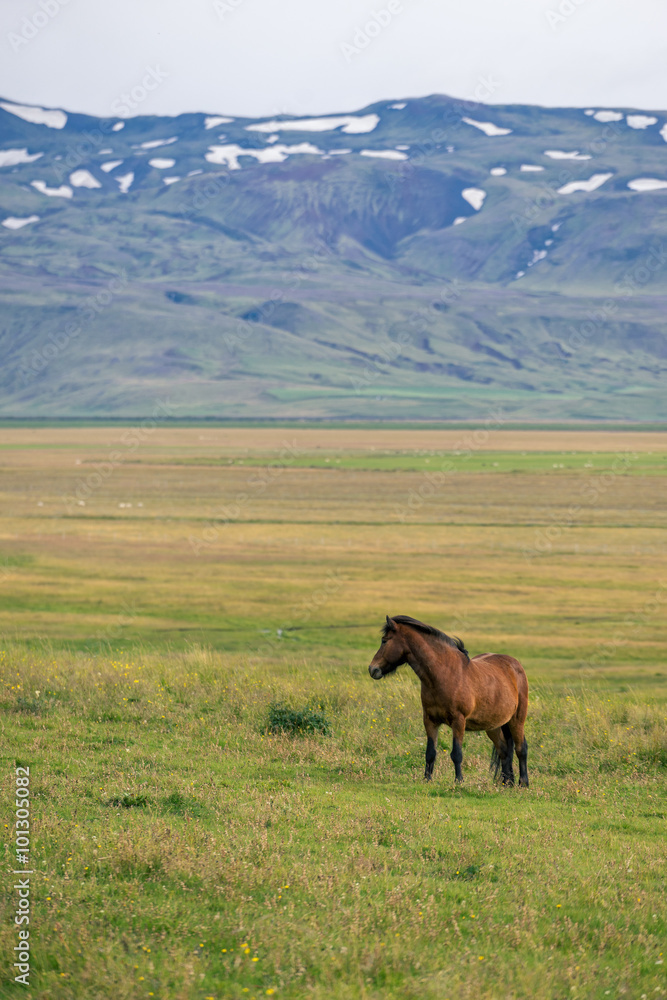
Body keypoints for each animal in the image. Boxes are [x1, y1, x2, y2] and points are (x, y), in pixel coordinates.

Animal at [368, 615, 529, 787]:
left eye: (384, 641)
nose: (372, 669)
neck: (445, 674)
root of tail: (515, 665)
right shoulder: (430, 720)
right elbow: (430, 752)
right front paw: (427, 779)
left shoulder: (458, 721)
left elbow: (456, 753)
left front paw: (459, 781)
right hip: (493, 725)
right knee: (504, 750)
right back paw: (507, 783)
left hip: (516, 720)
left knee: (521, 748)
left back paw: (523, 783)